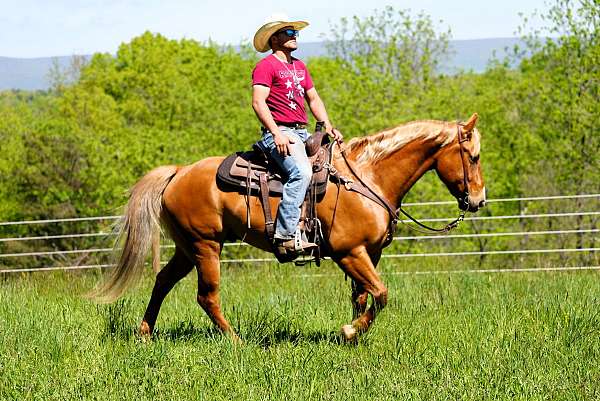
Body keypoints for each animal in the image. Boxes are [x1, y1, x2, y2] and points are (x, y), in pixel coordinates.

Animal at [95, 112, 488, 340]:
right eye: (473, 156)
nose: (479, 200)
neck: (367, 178)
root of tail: (178, 172)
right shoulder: (349, 253)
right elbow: (381, 294)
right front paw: (350, 331)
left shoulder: (369, 254)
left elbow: (363, 296)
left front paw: (354, 338)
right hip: (205, 247)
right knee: (207, 296)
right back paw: (235, 341)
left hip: (186, 248)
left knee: (163, 281)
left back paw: (145, 334)